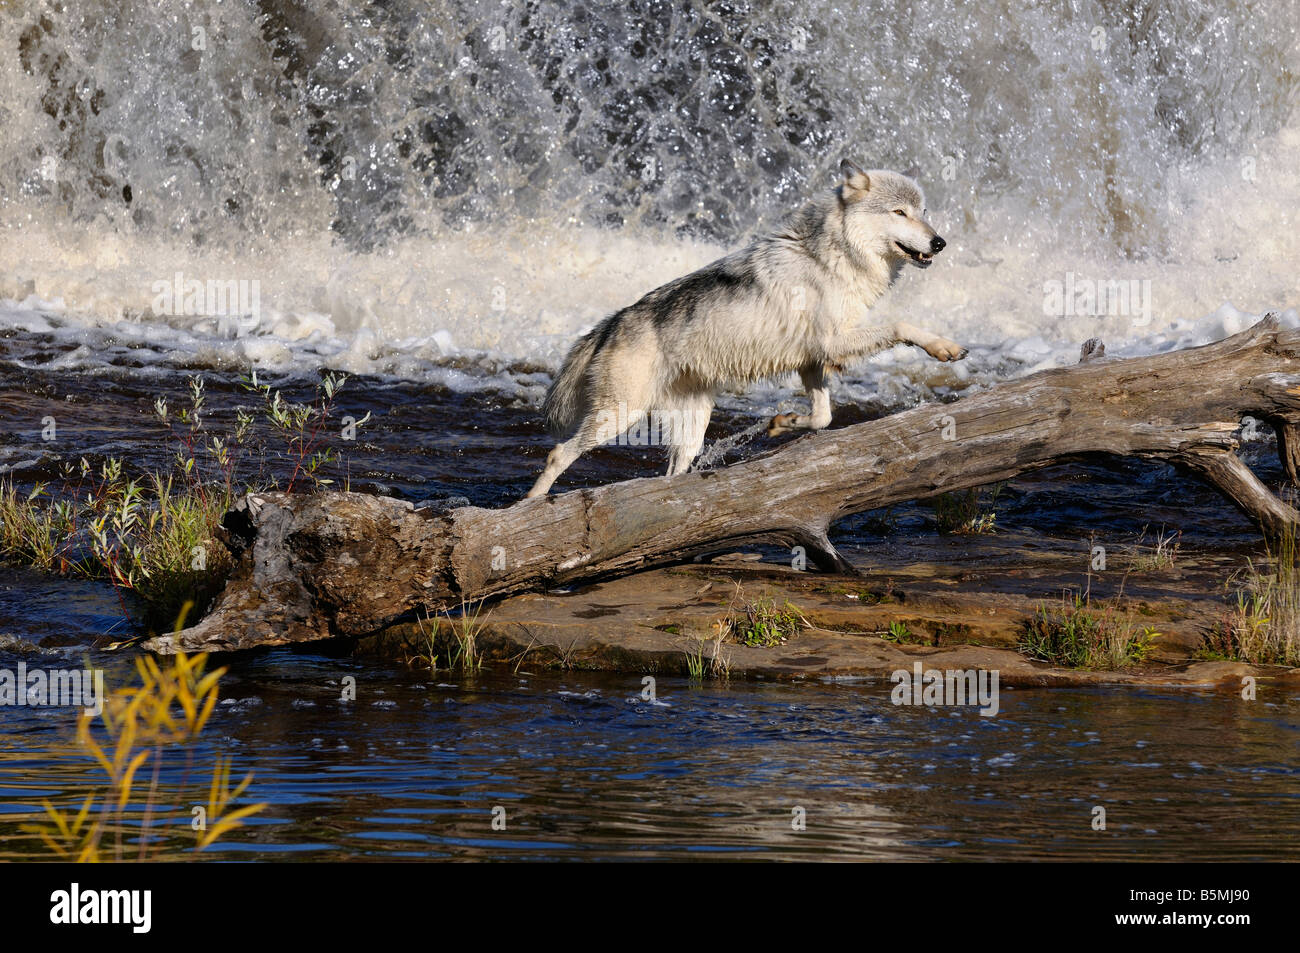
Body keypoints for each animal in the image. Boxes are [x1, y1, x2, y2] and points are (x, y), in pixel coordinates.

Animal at [525, 159, 966, 498]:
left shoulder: (812, 359)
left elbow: (823, 417)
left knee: (670, 474)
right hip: (618, 416)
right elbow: (902, 324)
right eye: (899, 213)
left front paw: (782, 423)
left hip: (690, 430)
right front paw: (944, 347)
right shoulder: (833, 343)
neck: (830, 258)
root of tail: (610, 323)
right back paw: (531, 505)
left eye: (924, 212)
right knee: (558, 453)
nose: (940, 242)